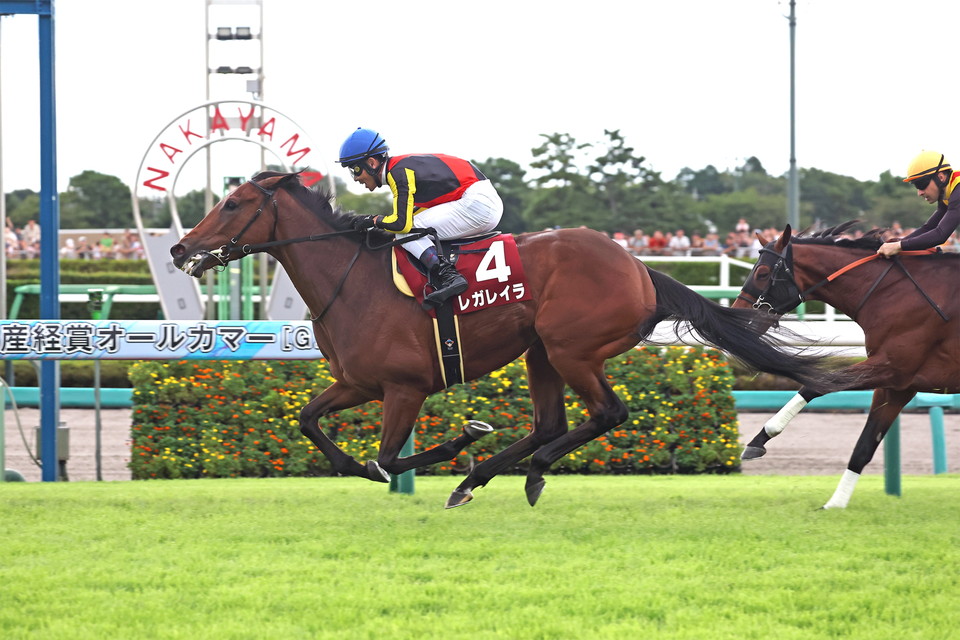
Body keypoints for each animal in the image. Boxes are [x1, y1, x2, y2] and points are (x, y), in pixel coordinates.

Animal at [170, 171, 854, 509]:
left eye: (233, 204)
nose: (179, 249)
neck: (352, 279)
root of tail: (638, 266)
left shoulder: (404, 387)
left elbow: (385, 459)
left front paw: (459, 442)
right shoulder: (357, 382)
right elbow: (313, 426)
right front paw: (457, 451)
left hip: (572, 347)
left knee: (607, 412)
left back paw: (519, 472)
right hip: (541, 351)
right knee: (552, 421)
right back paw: (483, 479)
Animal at [734, 221, 959, 509]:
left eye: (762, 273)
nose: (736, 317)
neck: (893, 292)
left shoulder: (892, 366)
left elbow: (816, 385)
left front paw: (762, 436)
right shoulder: (898, 385)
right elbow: (864, 446)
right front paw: (835, 504)